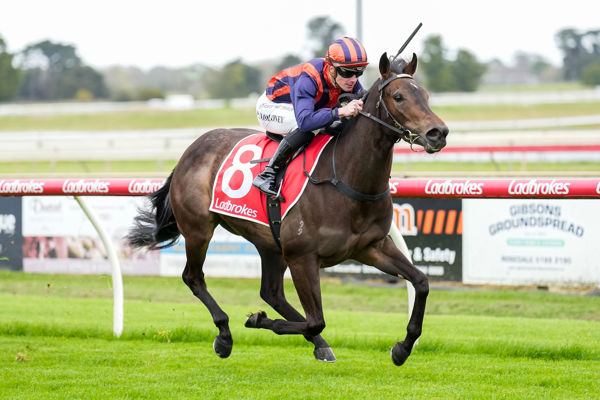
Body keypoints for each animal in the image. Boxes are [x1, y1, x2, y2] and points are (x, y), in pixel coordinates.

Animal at [129, 53, 448, 366]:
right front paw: (258, 321)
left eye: (426, 95)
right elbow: (316, 320)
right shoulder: (302, 256)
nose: (439, 133)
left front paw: (402, 348)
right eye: (398, 96)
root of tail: (190, 150)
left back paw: (319, 344)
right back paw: (225, 335)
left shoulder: (372, 246)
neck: (345, 176)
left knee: (271, 293)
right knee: (194, 278)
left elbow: (421, 282)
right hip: (198, 229)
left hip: (270, 242)